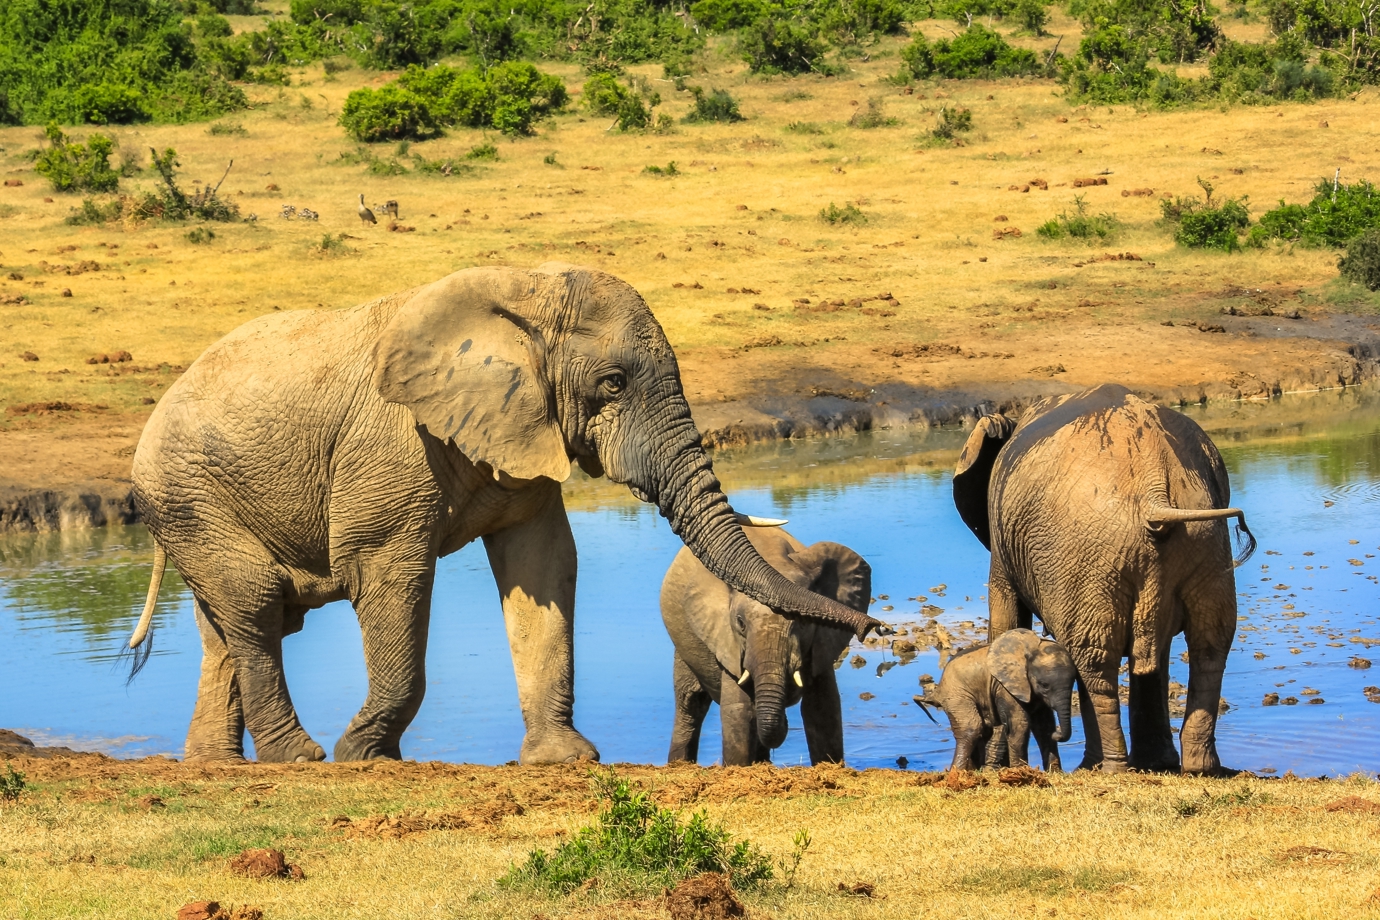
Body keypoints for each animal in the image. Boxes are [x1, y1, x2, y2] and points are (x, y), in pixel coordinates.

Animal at [659, 525, 869, 766]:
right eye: (740, 623)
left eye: (804, 621)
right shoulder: (728, 643)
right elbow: (739, 709)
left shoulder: (822, 643)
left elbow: (823, 707)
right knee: (691, 703)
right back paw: (679, 764)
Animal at [925, 629, 1076, 772]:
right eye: (1044, 685)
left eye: (1074, 681)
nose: (1057, 734)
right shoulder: (1005, 687)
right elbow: (1019, 724)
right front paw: (1021, 771)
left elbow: (1044, 725)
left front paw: (1056, 773)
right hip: (956, 694)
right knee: (971, 728)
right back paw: (957, 772)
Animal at [951, 384, 1254, 775]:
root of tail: (1154, 483)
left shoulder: (1003, 548)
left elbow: (1007, 617)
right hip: (1204, 537)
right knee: (1210, 646)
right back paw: (1198, 767)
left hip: (1087, 554)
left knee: (1093, 658)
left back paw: (1103, 768)